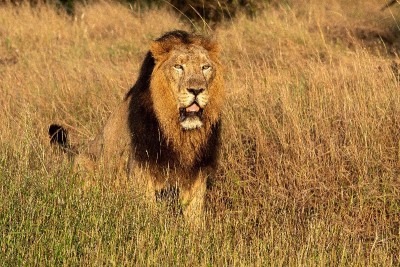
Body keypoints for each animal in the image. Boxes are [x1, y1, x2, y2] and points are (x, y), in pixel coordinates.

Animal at [49, 30, 225, 225]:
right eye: (179, 67)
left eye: (205, 67)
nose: (196, 90)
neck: (179, 133)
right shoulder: (141, 173)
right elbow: (149, 216)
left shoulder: (196, 174)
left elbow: (194, 218)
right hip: (85, 164)